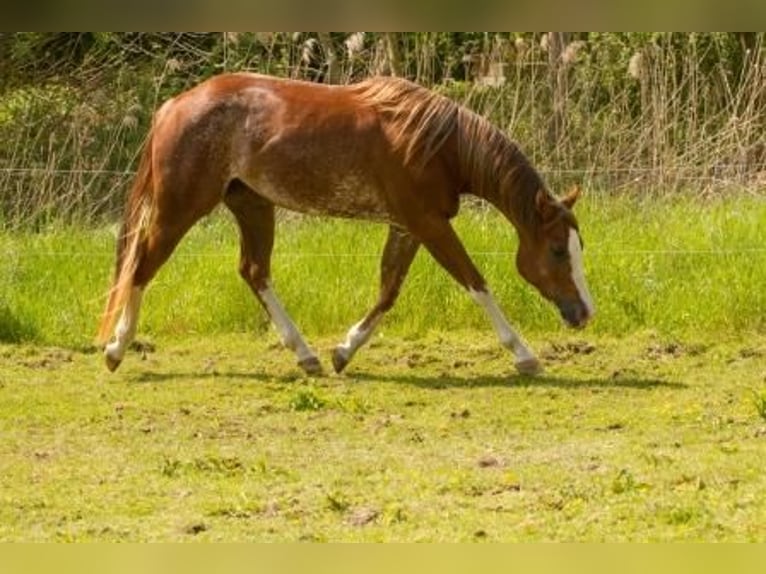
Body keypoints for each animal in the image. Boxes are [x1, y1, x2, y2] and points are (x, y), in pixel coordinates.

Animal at [97, 72, 594, 376]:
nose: (585, 312)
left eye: (578, 246)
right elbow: (476, 282)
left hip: (252, 205)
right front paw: (525, 355)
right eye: (556, 249)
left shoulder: (409, 227)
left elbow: (388, 291)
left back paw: (306, 356)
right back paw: (116, 350)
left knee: (255, 272)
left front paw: (343, 351)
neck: (436, 144)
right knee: (142, 266)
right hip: (178, 209)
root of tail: (173, 106)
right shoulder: (429, 225)